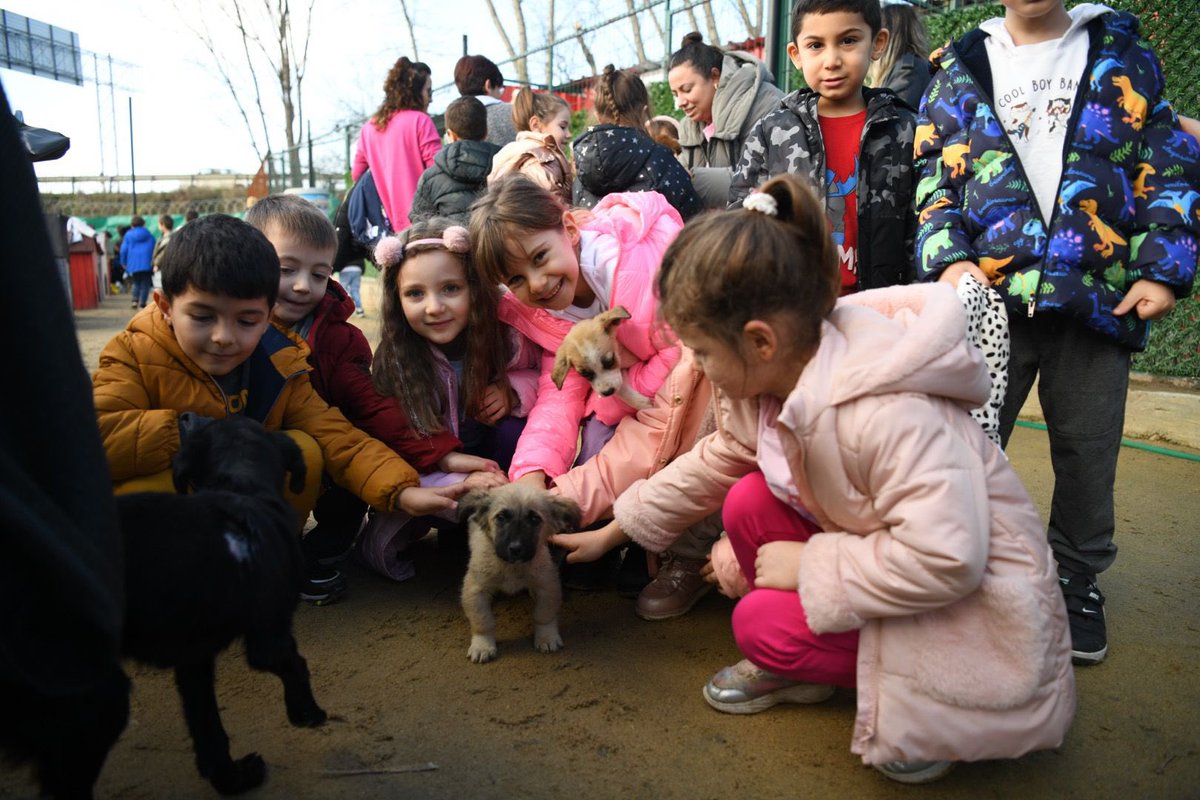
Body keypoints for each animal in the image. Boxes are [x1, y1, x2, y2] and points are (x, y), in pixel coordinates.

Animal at [115, 417, 326, 796]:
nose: (186, 417)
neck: (241, 487)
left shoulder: (192, 657)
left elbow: (207, 726)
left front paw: (231, 777)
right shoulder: (269, 636)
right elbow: (296, 665)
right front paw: (308, 713)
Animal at [456, 482, 583, 662]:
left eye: (535, 519)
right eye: (501, 518)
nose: (516, 549)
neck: (511, 567)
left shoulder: (547, 585)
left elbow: (544, 615)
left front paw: (547, 637)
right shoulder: (475, 590)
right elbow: (483, 621)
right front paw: (482, 645)